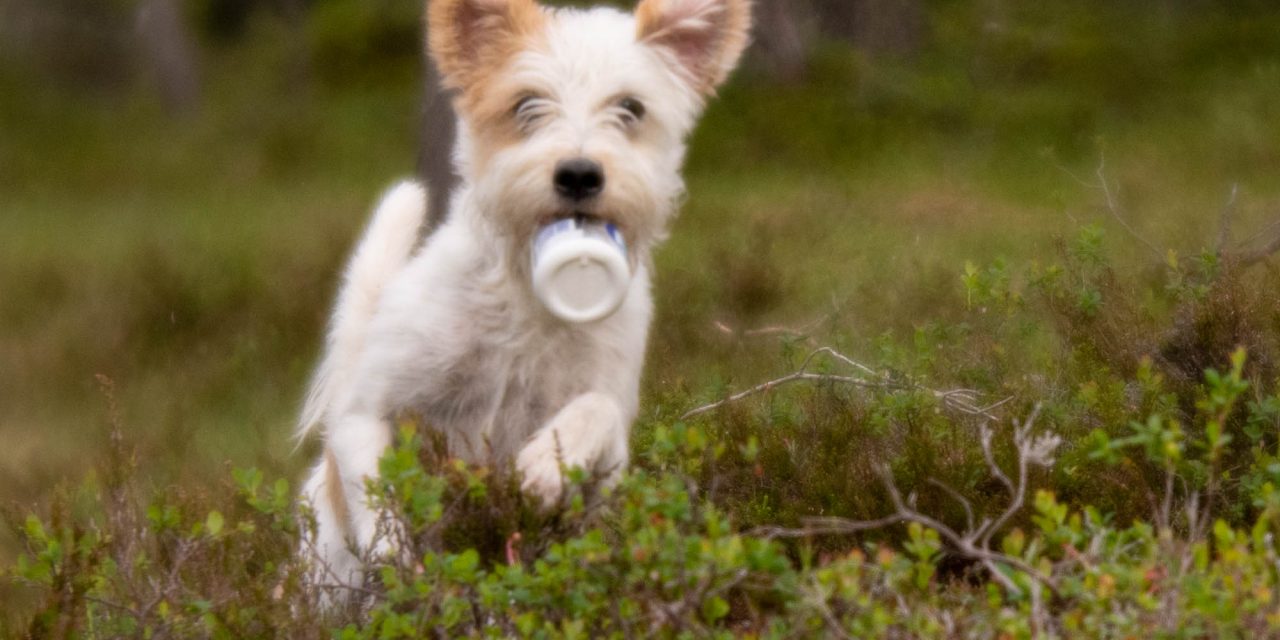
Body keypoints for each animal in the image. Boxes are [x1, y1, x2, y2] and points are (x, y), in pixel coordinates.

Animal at [294, 0, 752, 591]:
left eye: (630, 108)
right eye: (527, 105)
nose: (579, 174)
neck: (531, 302)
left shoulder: (609, 460)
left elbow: (598, 408)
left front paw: (547, 463)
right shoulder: (364, 412)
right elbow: (380, 493)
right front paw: (397, 554)